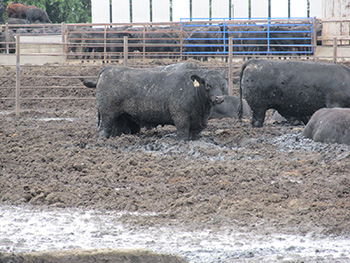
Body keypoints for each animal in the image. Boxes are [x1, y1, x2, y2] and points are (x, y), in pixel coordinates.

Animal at [81, 66, 226, 140]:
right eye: (208, 85)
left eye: (223, 84)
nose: (219, 98)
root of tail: (108, 69)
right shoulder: (181, 118)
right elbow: (183, 134)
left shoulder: (197, 124)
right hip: (107, 114)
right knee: (103, 130)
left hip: (120, 116)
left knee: (116, 130)